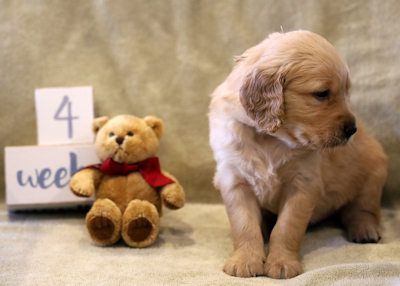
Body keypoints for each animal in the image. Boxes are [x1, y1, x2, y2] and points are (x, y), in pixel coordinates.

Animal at [209, 31, 388, 280]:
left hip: (373, 171)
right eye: (321, 93)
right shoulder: (234, 180)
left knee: (361, 209)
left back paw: (365, 229)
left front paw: (282, 263)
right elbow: (244, 225)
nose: (353, 129)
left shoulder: (303, 184)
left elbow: (287, 227)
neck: (270, 138)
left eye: (346, 92)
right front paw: (245, 260)